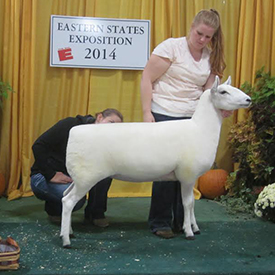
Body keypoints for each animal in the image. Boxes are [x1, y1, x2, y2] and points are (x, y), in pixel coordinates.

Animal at [59, 76, 252, 249]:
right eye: (224, 92)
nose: (248, 99)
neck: (200, 129)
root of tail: (73, 133)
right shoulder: (187, 175)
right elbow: (188, 203)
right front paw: (189, 232)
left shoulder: (189, 177)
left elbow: (192, 204)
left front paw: (195, 228)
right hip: (87, 177)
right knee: (68, 201)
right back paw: (66, 242)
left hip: (78, 177)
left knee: (64, 197)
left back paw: (67, 232)